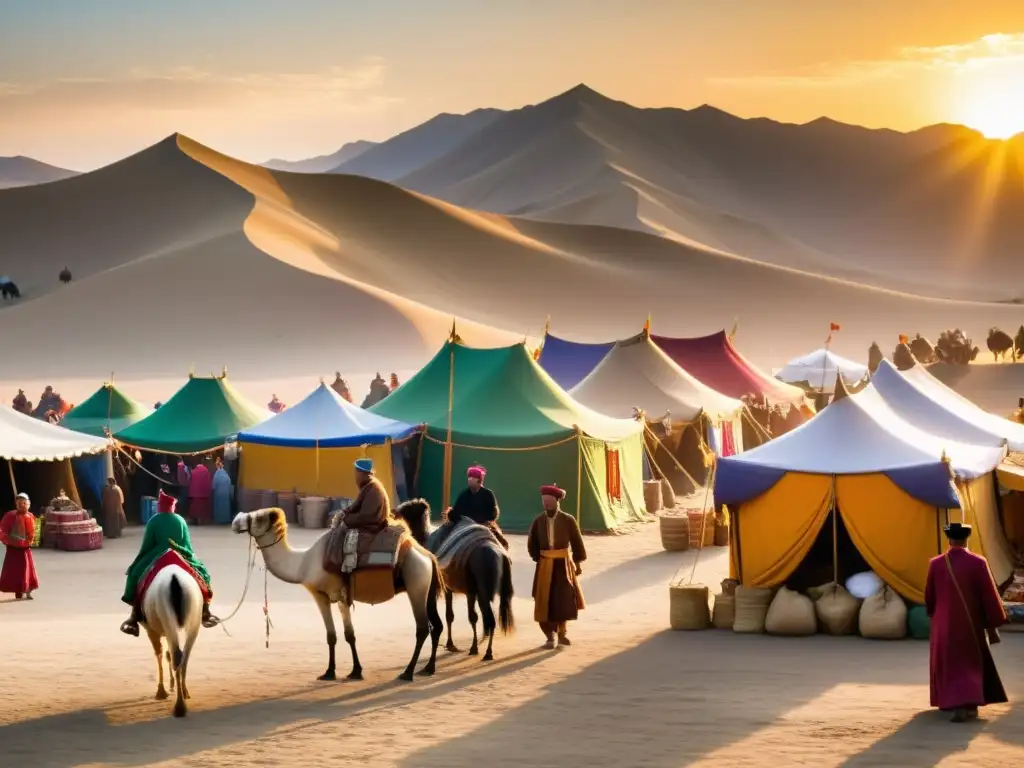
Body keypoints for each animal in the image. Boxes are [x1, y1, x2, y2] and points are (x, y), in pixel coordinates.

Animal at [141, 565, 202, 720]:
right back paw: (184, 693)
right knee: (184, 656)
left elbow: (159, 654)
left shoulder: (150, 629)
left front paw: (161, 690)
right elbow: (167, 654)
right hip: (194, 618)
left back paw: (179, 707)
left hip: (166, 617)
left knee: (176, 655)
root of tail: (175, 580)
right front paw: (172, 685)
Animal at [232, 507, 444, 684]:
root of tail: (427, 556)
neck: (303, 564)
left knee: (422, 628)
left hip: (416, 584)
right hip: (426, 590)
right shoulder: (335, 598)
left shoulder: (327, 595)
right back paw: (428, 668)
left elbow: (340, 635)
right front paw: (344, 671)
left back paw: (407, 673)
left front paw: (339, 672)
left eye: (259, 517)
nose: (235, 521)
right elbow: (341, 635)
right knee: (436, 625)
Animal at [391, 499, 512, 663]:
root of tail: (496, 553)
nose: (393, 512)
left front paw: (452, 644)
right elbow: (468, 616)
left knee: (489, 619)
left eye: (406, 509)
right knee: (489, 617)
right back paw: (485, 646)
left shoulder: (450, 587)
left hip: (481, 588)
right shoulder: (467, 589)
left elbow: (452, 615)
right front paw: (466, 645)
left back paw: (487, 652)